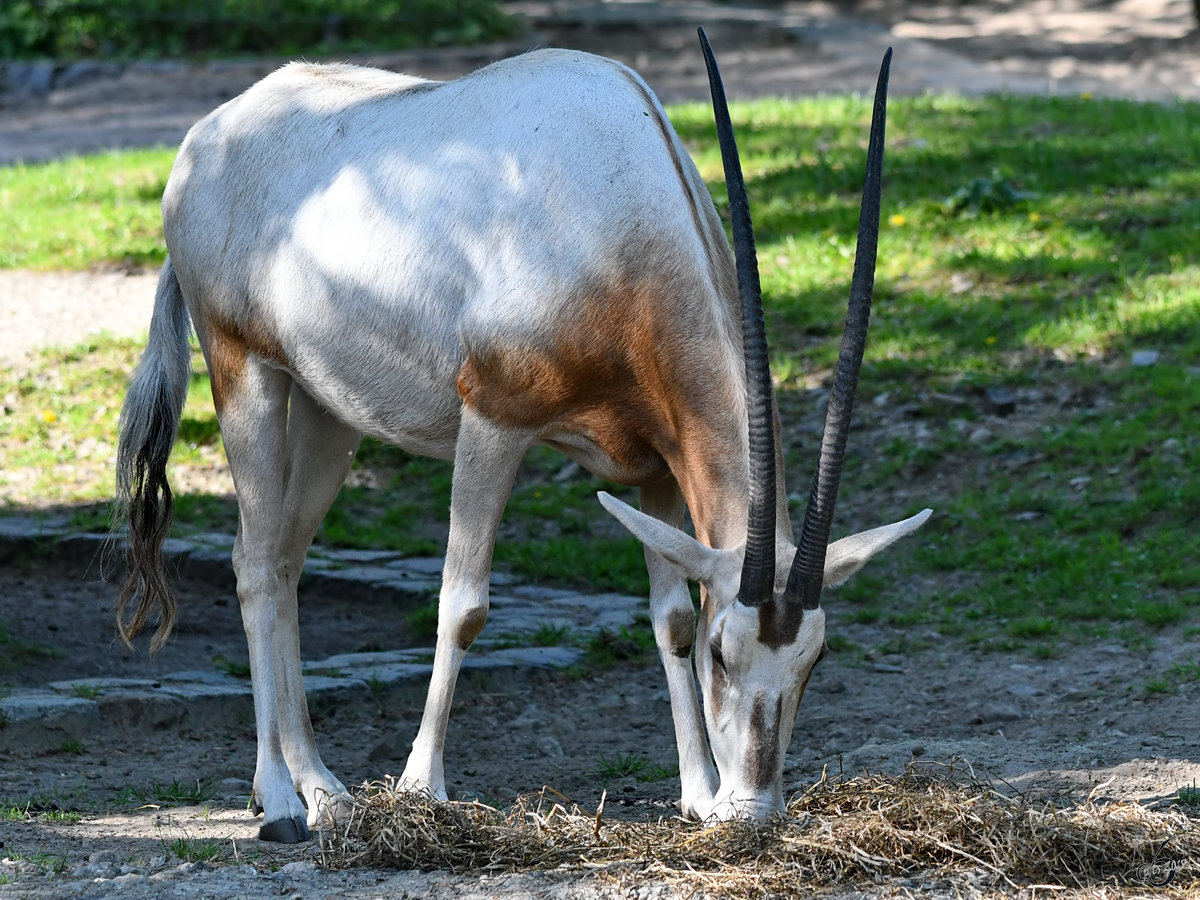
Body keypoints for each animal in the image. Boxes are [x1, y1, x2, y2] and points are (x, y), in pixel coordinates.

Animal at [114, 30, 926, 844]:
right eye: (726, 654)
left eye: (814, 660)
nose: (754, 811)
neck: (617, 203)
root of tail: (207, 137)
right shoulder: (494, 420)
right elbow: (463, 604)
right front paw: (421, 788)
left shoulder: (654, 466)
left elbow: (669, 619)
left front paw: (697, 794)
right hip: (243, 371)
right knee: (253, 563)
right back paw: (281, 801)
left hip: (327, 411)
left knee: (284, 562)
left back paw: (322, 787)